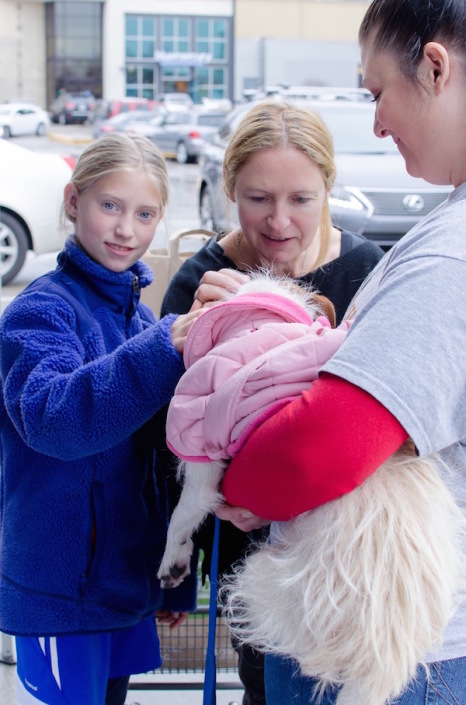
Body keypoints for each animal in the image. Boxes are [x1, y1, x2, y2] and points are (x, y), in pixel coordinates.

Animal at [158, 274, 464, 704]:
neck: (254, 320)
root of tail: (382, 657)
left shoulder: (200, 447)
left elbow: (181, 516)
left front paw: (172, 561)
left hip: (262, 583)